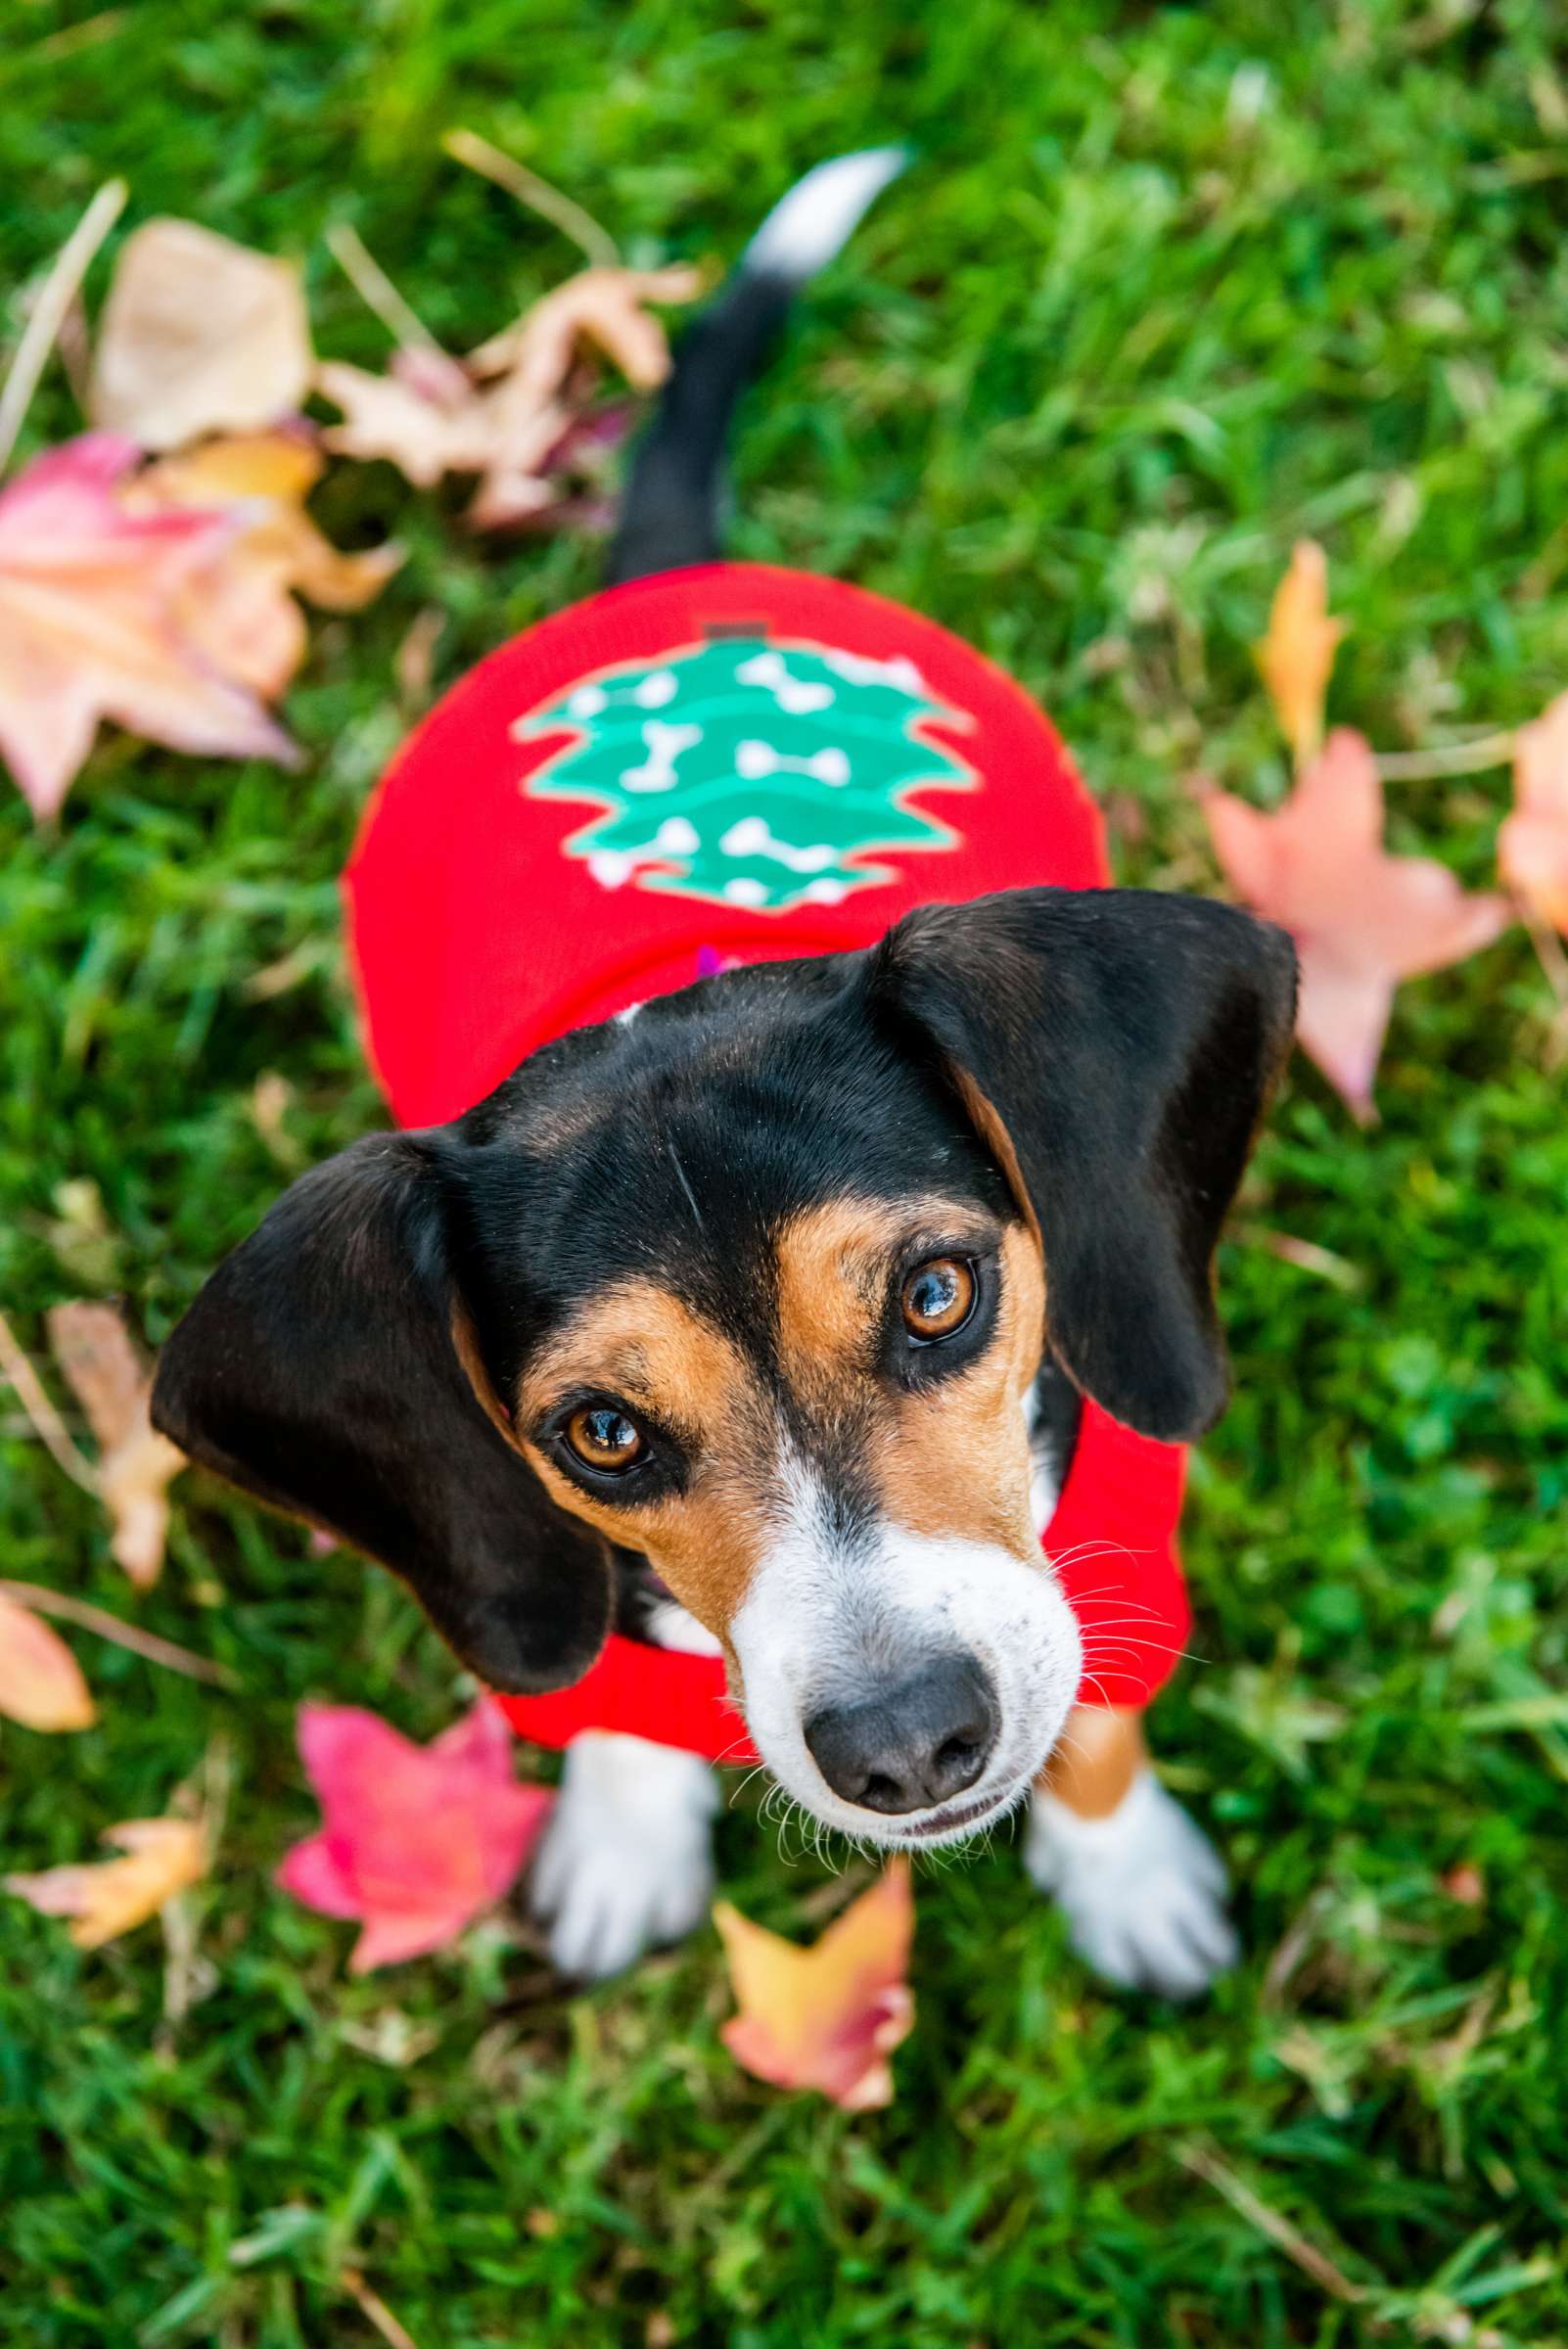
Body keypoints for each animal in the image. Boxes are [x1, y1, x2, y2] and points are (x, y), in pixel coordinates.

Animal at [150, 156, 1295, 2001]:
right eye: (602, 1434)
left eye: (935, 1295)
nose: (905, 1744)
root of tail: (672, 590)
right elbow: (622, 1707)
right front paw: (627, 1835)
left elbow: (1104, 1716)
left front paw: (1123, 1873)